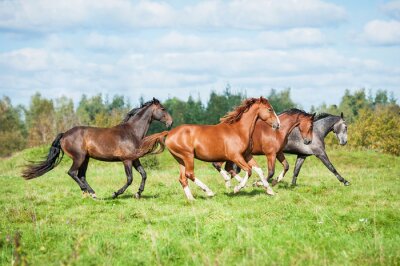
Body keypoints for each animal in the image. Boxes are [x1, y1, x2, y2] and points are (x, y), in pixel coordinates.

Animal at [21, 98, 172, 198]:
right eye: (163, 109)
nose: (171, 122)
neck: (132, 132)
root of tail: (64, 134)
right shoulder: (127, 160)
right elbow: (130, 179)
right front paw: (115, 193)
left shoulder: (135, 159)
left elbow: (144, 174)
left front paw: (138, 193)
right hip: (79, 157)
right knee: (72, 173)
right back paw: (88, 191)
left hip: (86, 159)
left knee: (81, 175)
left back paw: (92, 193)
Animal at [136, 96, 280, 201]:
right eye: (269, 109)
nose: (277, 124)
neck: (239, 130)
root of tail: (169, 133)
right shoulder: (235, 156)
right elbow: (249, 171)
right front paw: (237, 188)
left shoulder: (247, 155)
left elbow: (259, 170)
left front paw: (269, 190)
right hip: (188, 156)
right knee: (190, 174)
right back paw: (209, 192)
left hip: (180, 159)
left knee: (182, 178)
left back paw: (191, 198)